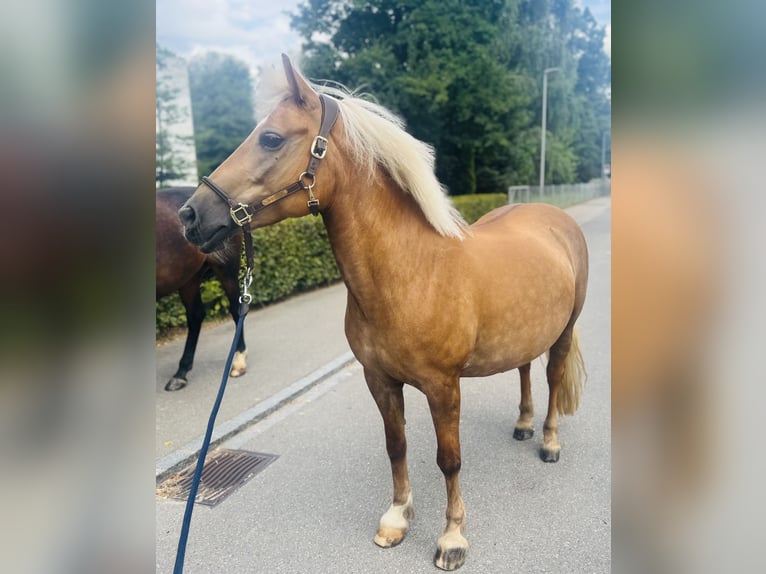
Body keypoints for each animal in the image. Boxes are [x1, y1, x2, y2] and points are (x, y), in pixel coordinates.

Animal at [158, 188, 248, 392]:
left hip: (226, 268)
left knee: (235, 308)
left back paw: (239, 361)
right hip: (187, 278)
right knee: (195, 315)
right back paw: (181, 372)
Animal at [178, 57, 588, 572]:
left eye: (270, 138)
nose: (190, 215)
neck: (409, 273)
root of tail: (556, 219)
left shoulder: (443, 387)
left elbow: (449, 459)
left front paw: (452, 538)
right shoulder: (379, 380)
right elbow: (397, 447)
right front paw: (396, 519)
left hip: (565, 331)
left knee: (552, 376)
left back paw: (549, 442)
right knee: (525, 370)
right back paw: (523, 424)